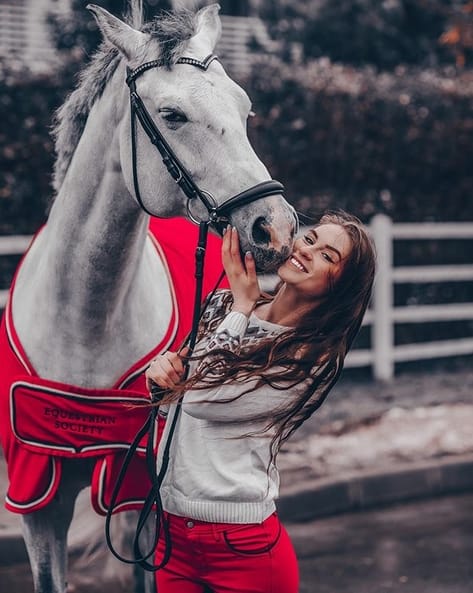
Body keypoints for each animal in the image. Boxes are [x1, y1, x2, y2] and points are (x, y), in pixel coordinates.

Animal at [0, 2, 297, 593]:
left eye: (245, 108)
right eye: (172, 114)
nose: (275, 228)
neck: (84, 320)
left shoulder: (136, 485)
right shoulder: (35, 496)